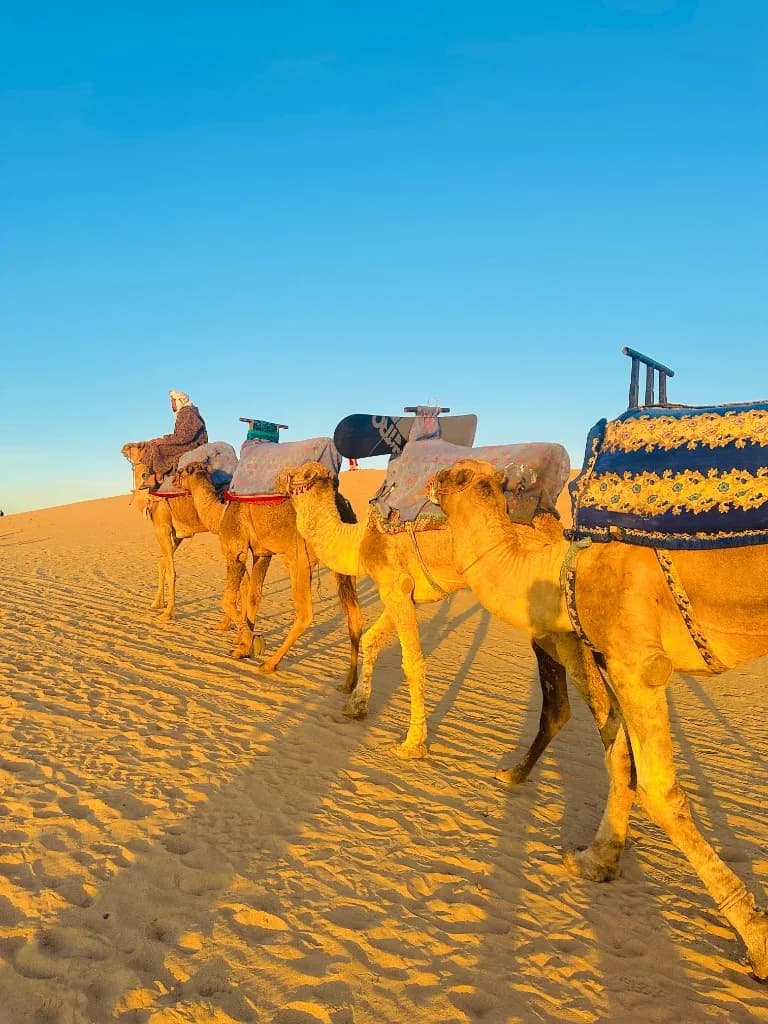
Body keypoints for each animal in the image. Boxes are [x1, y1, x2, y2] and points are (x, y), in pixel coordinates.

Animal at [175, 461, 363, 693]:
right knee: (354, 616)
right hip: (344, 564)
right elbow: (254, 597)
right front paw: (242, 643)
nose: (173, 479)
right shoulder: (262, 554)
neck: (220, 514)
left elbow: (227, 599)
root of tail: (343, 509)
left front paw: (246, 645)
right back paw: (348, 684)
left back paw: (269, 664)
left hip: (299, 559)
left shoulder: (235, 550)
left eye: (181, 471)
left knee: (305, 613)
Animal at [280, 461, 613, 769]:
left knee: (595, 700)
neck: (360, 541)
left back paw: (517, 773)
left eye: (299, 473)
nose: (279, 478)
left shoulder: (395, 585)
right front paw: (356, 705)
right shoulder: (402, 593)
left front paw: (412, 745)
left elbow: (412, 662)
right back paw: (516, 772)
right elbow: (372, 639)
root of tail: (556, 530)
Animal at [430, 457, 768, 979]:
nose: (429, 482)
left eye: (457, 476)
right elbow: (620, 758)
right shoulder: (609, 655)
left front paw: (757, 941)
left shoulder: (636, 660)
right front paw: (597, 860)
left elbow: (658, 789)